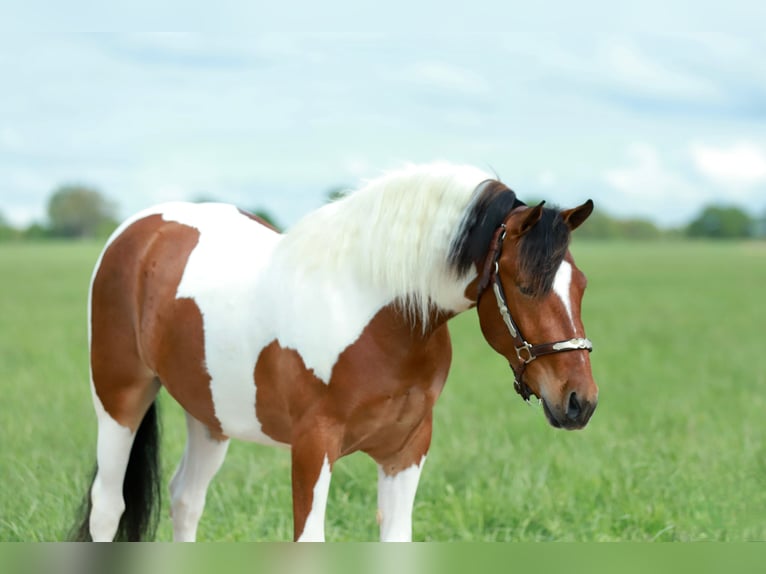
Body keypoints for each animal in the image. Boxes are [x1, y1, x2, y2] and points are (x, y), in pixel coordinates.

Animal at [71, 162, 598, 542]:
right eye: (525, 286)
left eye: (581, 286)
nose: (580, 401)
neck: (376, 311)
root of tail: (138, 230)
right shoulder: (312, 446)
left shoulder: (407, 451)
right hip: (118, 398)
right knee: (108, 507)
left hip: (210, 416)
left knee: (185, 500)